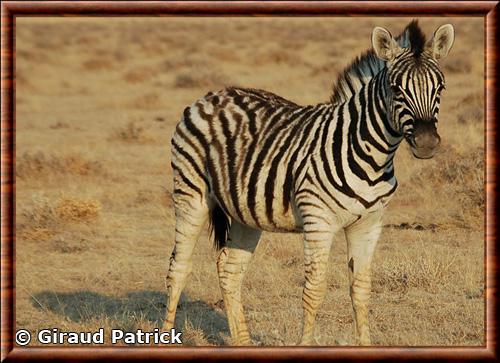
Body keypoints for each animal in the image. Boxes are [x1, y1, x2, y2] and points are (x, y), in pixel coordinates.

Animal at [164, 20, 454, 346]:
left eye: (440, 87)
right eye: (396, 88)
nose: (427, 143)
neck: (370, 153)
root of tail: (211, 95)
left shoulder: (370, 223)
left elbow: (362, 289)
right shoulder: (318, 221)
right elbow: (314, 291)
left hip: (244, 212)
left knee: (229, 269)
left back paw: (242, 342)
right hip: (190, 192)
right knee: (178, 268)